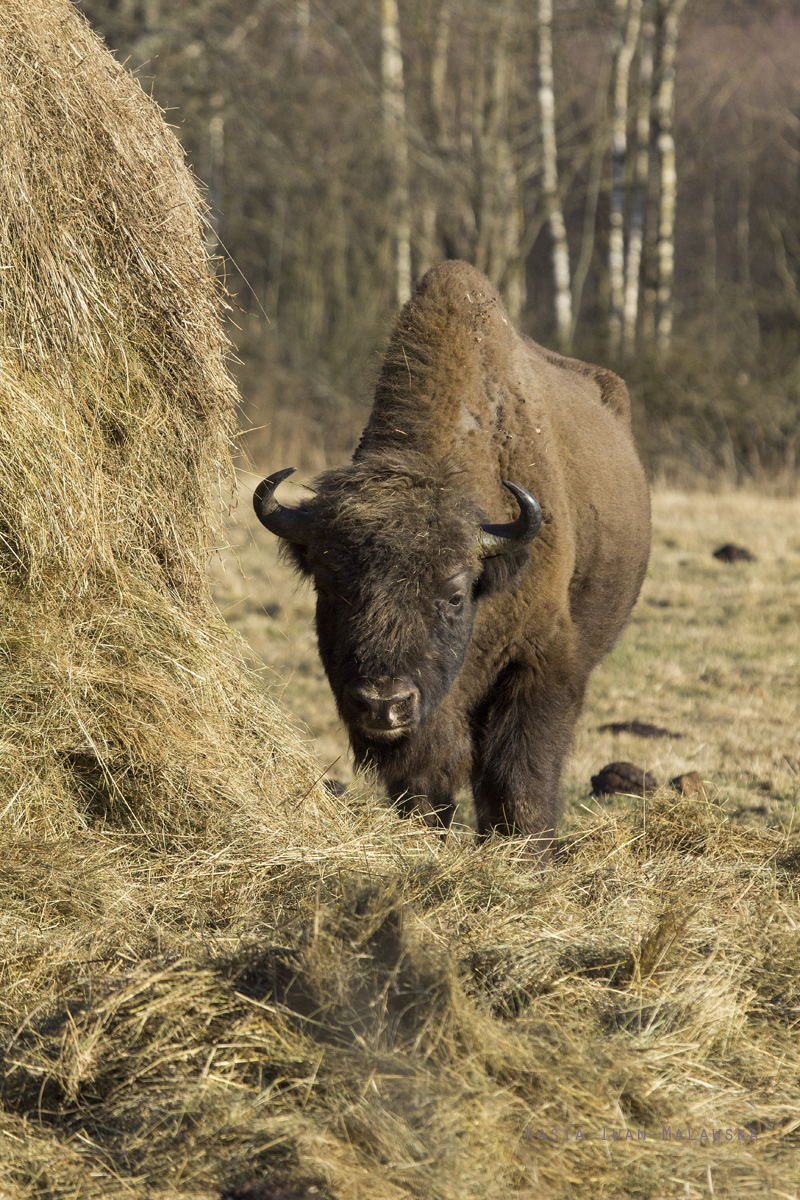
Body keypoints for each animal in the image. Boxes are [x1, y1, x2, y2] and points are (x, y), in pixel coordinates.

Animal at [255, 262, 652, 844]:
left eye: (455, 595)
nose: (383, 704)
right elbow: (425, 777)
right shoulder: (429, 714)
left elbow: (520, 776)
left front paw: (525, 849)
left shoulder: (542, 661)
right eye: (329, 587)